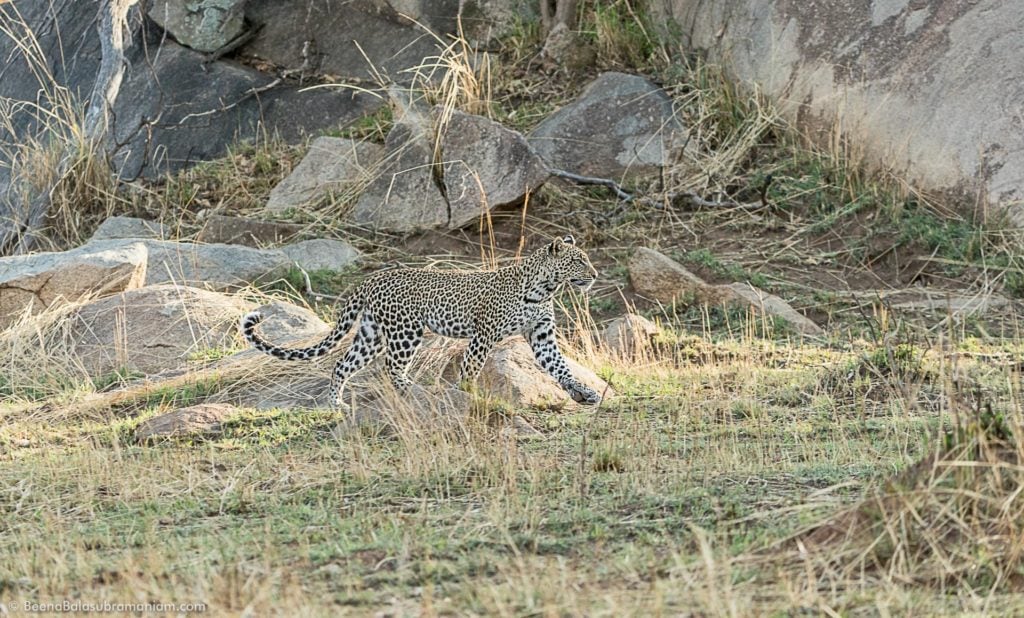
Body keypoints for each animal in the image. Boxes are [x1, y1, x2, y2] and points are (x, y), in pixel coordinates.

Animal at [242, 234, 602, 407]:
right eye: (578, 261)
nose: (596, 275)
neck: (544, 288)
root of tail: (370, 279)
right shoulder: (483, 335)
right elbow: (471, 368)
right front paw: (467, 395)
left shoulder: (542, 336)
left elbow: (560, 367)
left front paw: (583, 393)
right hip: (406, 331)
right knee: (391, 366)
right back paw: (414, 390)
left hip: (371, 334)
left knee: (343, 364)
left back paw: (336, 405)